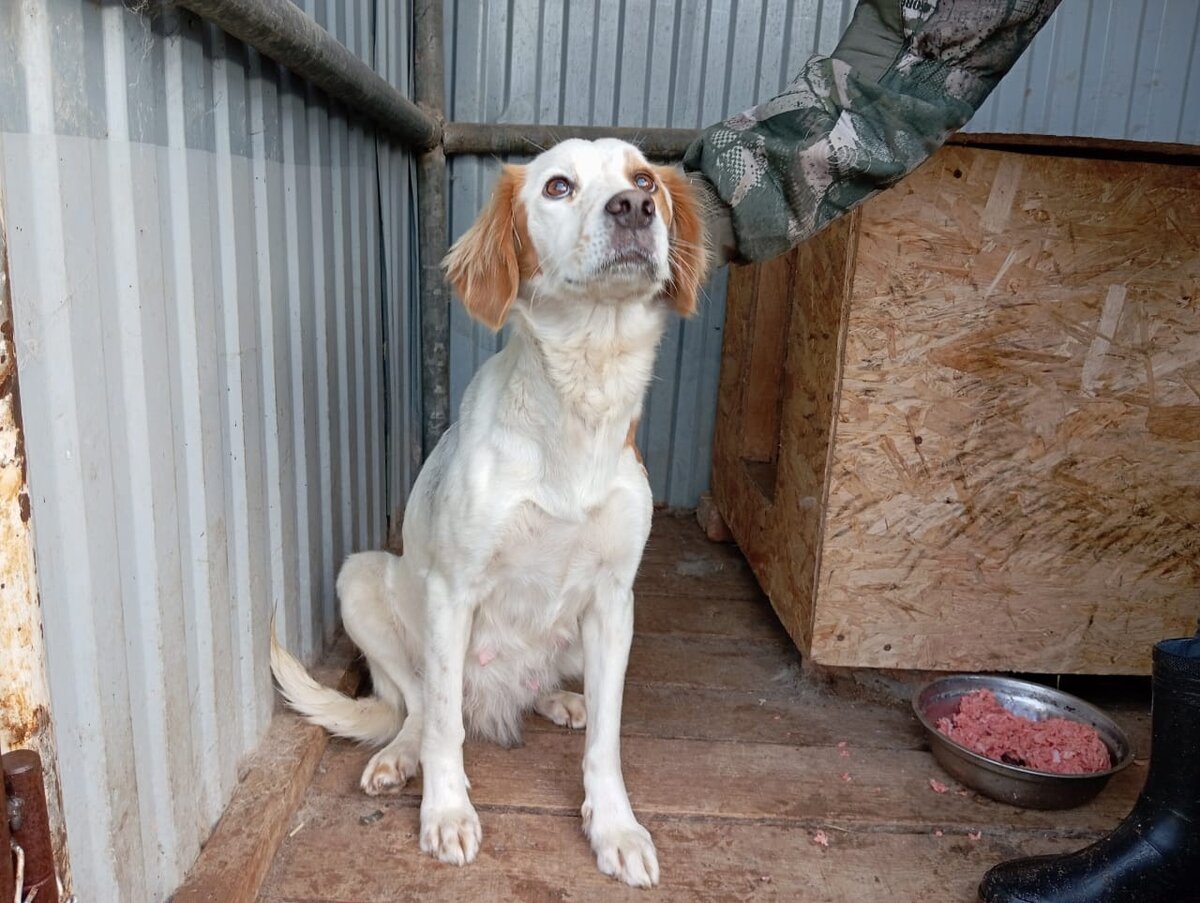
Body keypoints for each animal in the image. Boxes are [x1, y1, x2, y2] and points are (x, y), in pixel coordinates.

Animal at [267, 137, 705, 883]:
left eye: (646, 179)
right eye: (558, 186)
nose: (634, 208)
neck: (580, 402)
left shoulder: (614, 599)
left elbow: (608, 738)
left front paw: (615, 826)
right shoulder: (454, 591)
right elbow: (443, 724)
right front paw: (446, 812)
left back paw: (559, 698)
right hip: (362, 579)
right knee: (418, 705)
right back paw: (400, 754)